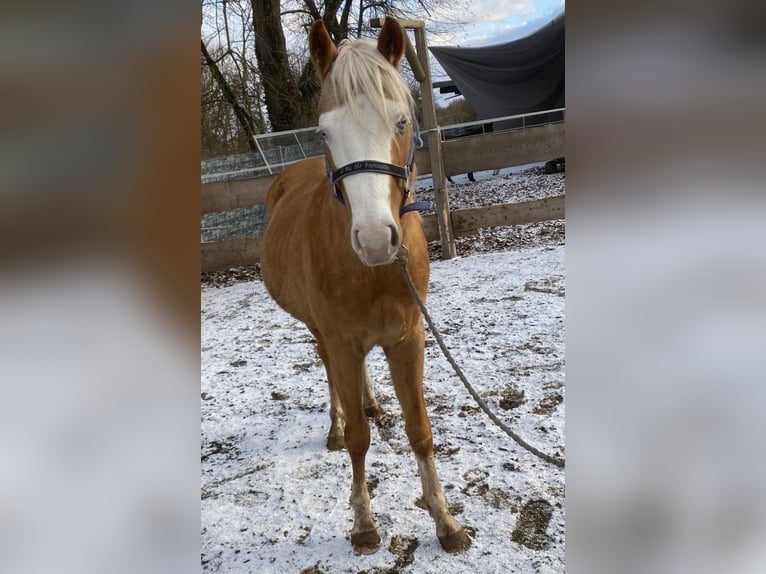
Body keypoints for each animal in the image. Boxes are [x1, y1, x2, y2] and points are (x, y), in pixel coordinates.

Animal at [260, 17, 471, 555]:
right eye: (324, 131)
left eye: (401, 122)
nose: (375, 239)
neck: (372, 273)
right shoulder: (340, 339)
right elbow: (359, 439)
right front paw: (362, 522)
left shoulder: (409, 337)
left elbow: (420, 430)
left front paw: (445, 520)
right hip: (319, 331)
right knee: (331, 374)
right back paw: (337, 422)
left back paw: (373, 401)